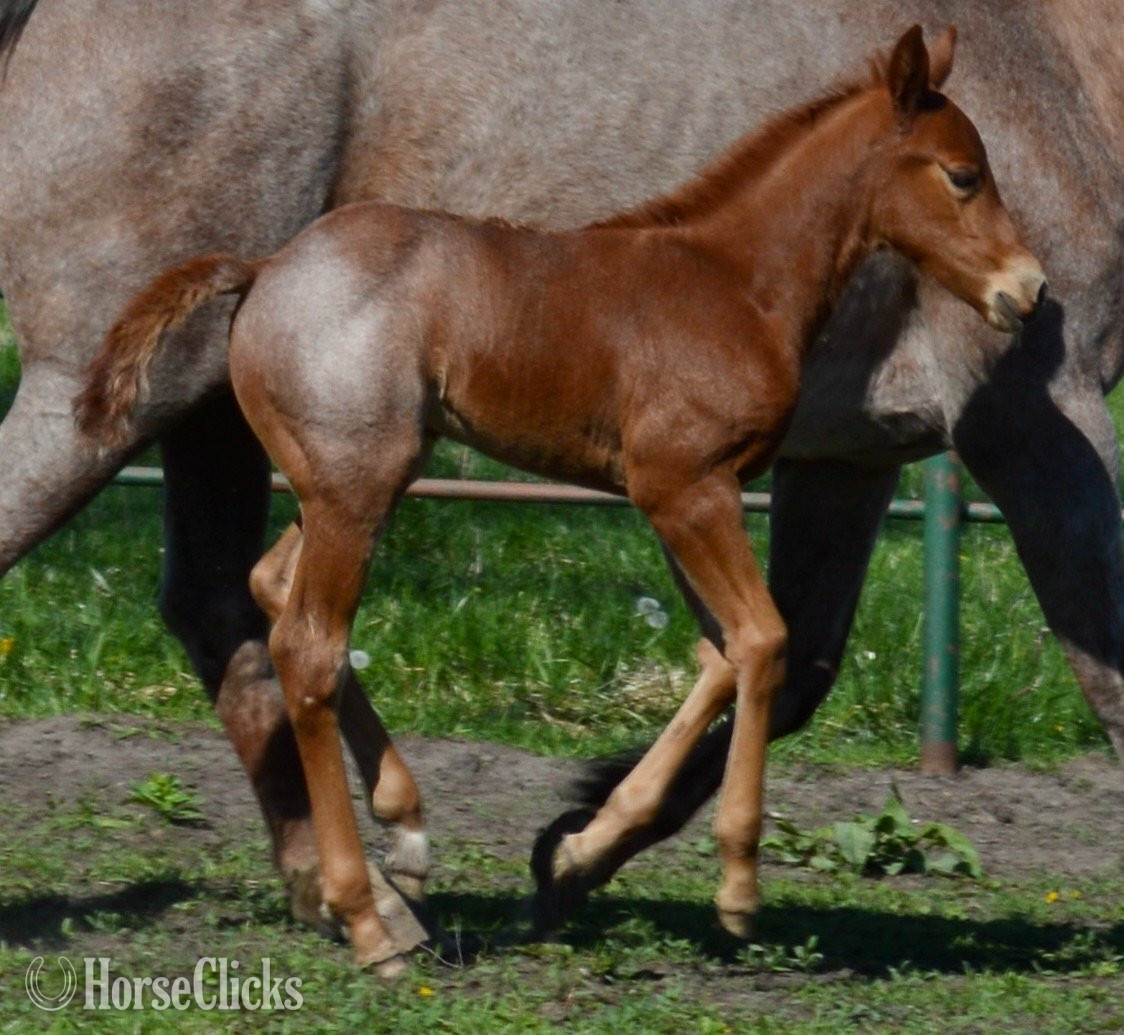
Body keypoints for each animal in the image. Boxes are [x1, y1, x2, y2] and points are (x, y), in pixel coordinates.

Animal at [0, 0, 1120, 958]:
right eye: (963, 175)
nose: (1027, 291)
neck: (729, 276)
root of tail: (262, 270)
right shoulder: (710, 481)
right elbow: (774, 645)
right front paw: (723, 882)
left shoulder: (784, 472)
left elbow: (748, 653)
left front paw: (578, 847)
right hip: (235, 447)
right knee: (298, 643)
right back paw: (370, 912)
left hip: (326, 468)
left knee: (250, 599)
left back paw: (384, 861)